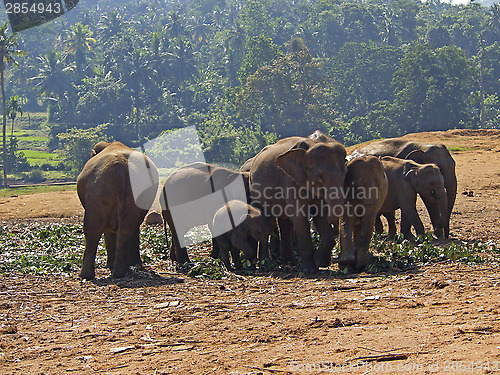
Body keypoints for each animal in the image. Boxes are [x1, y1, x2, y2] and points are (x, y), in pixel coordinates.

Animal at [75, 141, 158, 280]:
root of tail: (118, 168)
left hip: (99, 191)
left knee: (96, 229)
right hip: (122, 192)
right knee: (123, 228)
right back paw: (117, 272)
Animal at [248, 135, 346, 274]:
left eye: (345, 172)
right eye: (320, 176)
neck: (311, 145)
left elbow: (320, 216)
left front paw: (319, 261)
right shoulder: (290, 180)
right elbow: (300, 217)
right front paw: (309, 270)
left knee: (285, 223)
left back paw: (289, 262)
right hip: (255, 188)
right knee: (266, 220)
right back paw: (266, 263)